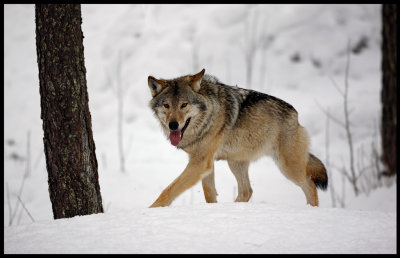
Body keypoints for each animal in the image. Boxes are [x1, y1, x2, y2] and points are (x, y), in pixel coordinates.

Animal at [147, 68, 328, 208]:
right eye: (166, 105)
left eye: (184, 105)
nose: (173, 125)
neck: (209, 113)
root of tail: (296, 116)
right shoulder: (204, 163)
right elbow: (209, 193)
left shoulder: (200, 162)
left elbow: (169, 189)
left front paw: (152, 210)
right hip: (235, 162)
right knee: (247, 191)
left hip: (288, 167)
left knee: (310, 185)